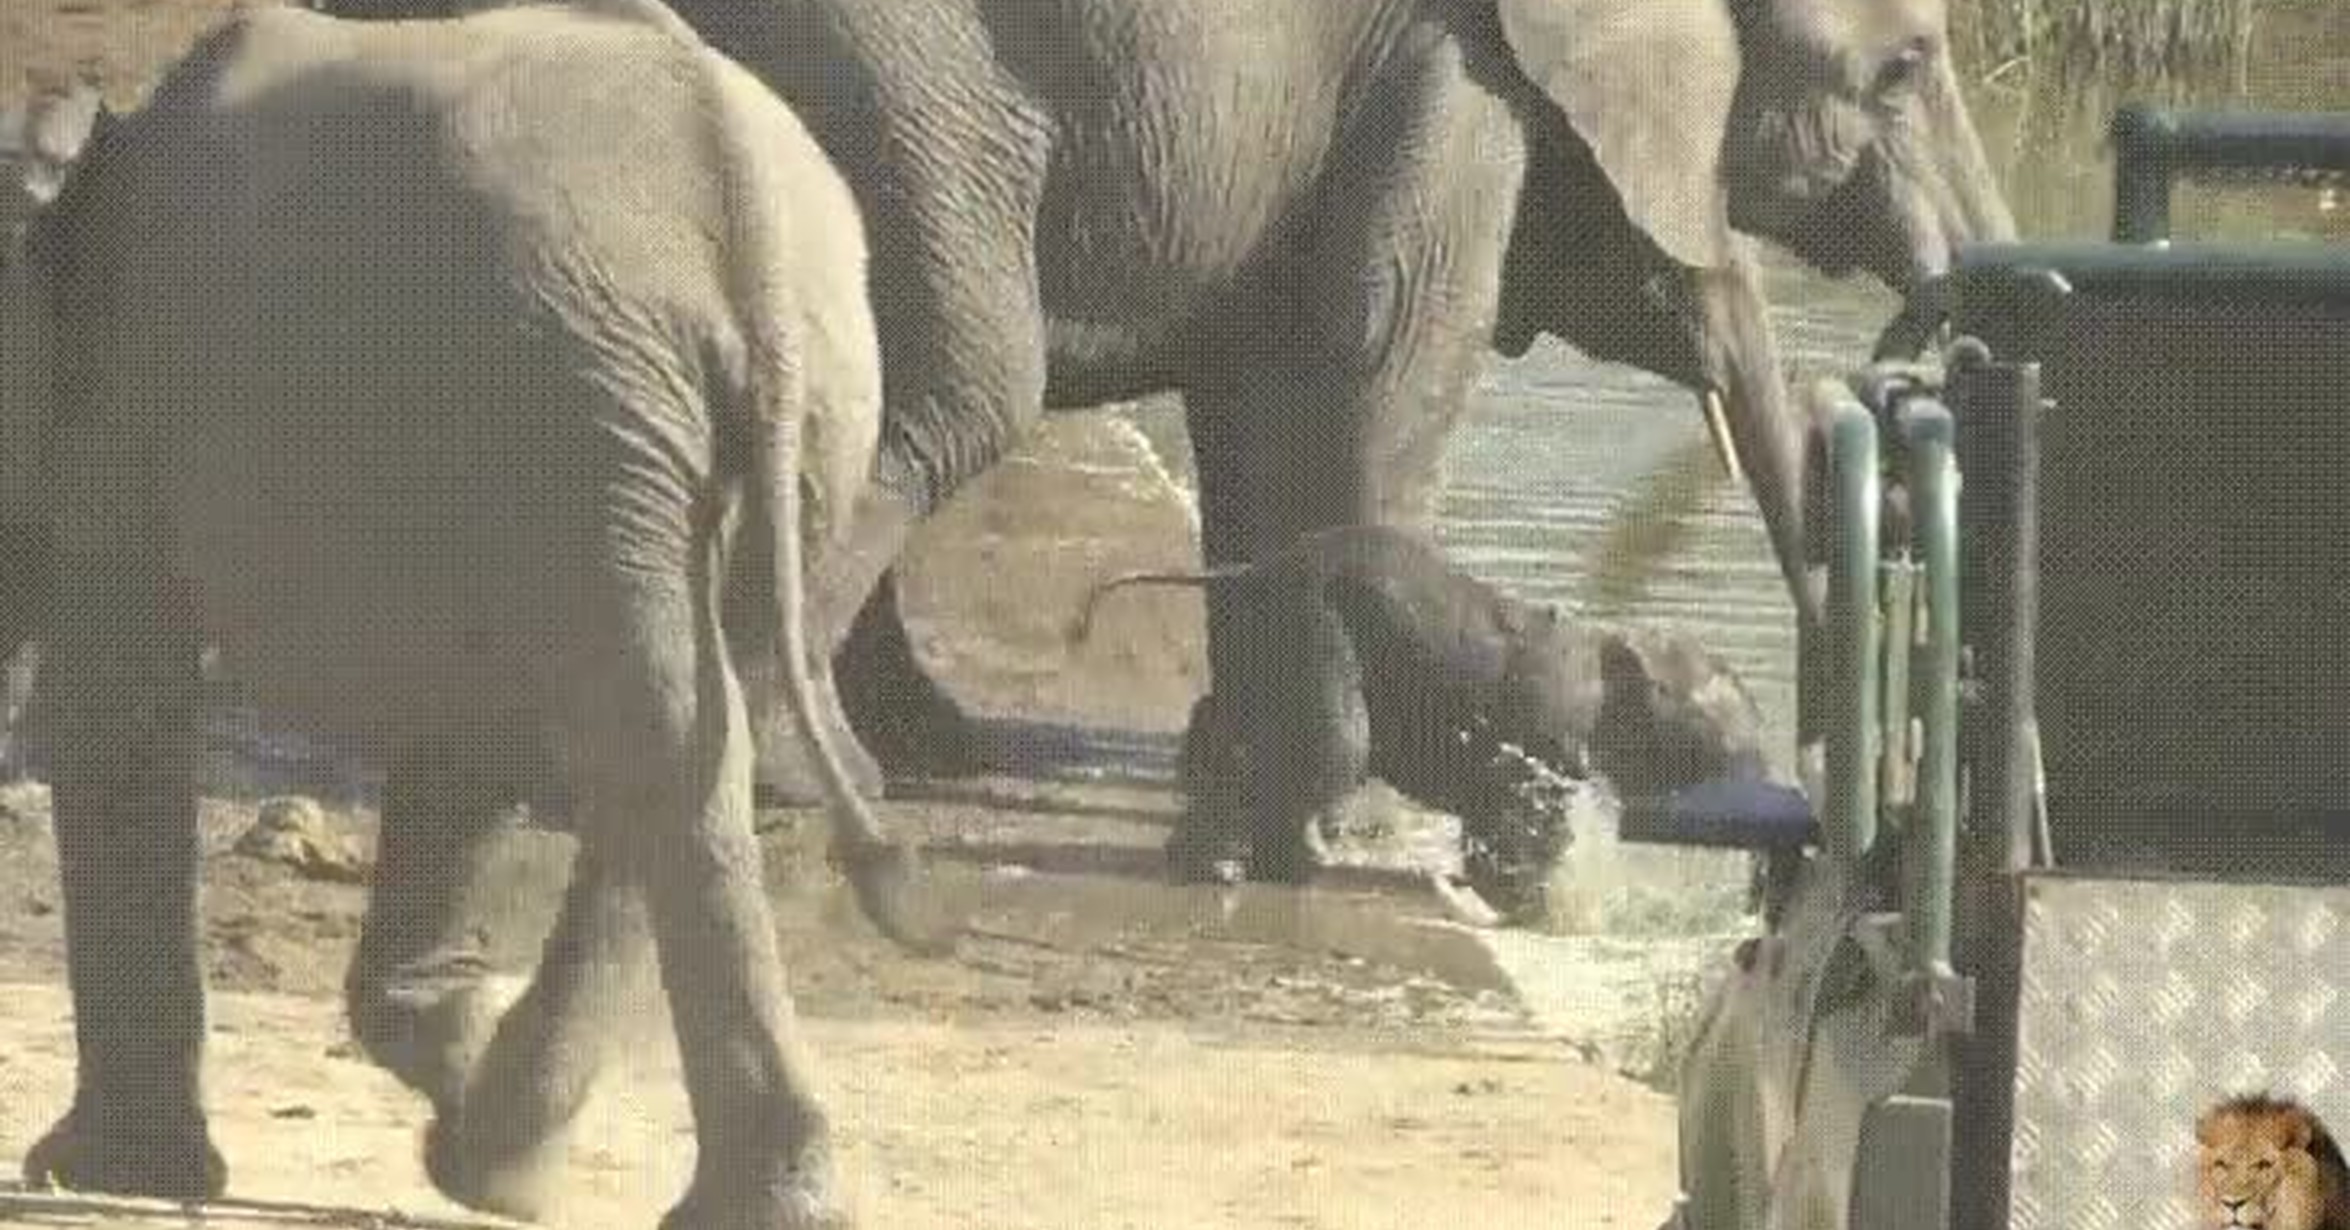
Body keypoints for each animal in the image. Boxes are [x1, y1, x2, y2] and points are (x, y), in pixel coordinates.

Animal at [1, 3, 940, 1225]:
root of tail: (749, 225)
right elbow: (466, 730)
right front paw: (449, 1045)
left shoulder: (127, 407)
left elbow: (115, 707)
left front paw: (102, 1171)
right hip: (735, 425)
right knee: (681, 731)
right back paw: (520, 1160)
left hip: (579, 408)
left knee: (649, 735)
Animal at [304, 0, 2014, 852]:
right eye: (1904, 67)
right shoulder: (1452, 81)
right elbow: (1374, 371)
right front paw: (1367, 825)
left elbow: (1266, 399)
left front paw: (1240, 783)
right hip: (890, 92)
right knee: (949, 388)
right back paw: (803, 778)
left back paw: (916, 751)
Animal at [1075, 525, 1769, 907]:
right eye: (1728, 689)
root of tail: (1252, 570)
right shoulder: (1545, 735)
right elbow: (1522, 813)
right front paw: (1525, 905)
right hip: (1318, 631)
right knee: (1328, 755)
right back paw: (1247, 873)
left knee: (1229, 734)